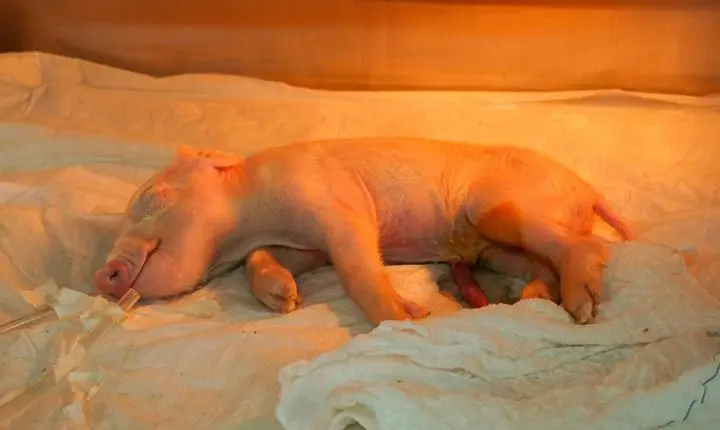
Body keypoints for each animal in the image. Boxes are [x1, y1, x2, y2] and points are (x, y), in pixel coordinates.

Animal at [94, 138, 634, 326]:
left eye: (151, 198)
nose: (102, 276)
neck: (253, 217)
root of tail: (588, 190)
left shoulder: (336, 204)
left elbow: (357, 265)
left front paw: (409, 318)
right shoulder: (304, 244)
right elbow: (265, 260)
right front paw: (284, 300)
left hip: (497, 208)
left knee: (586, 245)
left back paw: (582, 308)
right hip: (492, 249)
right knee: (538, 263)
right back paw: (533, 298)